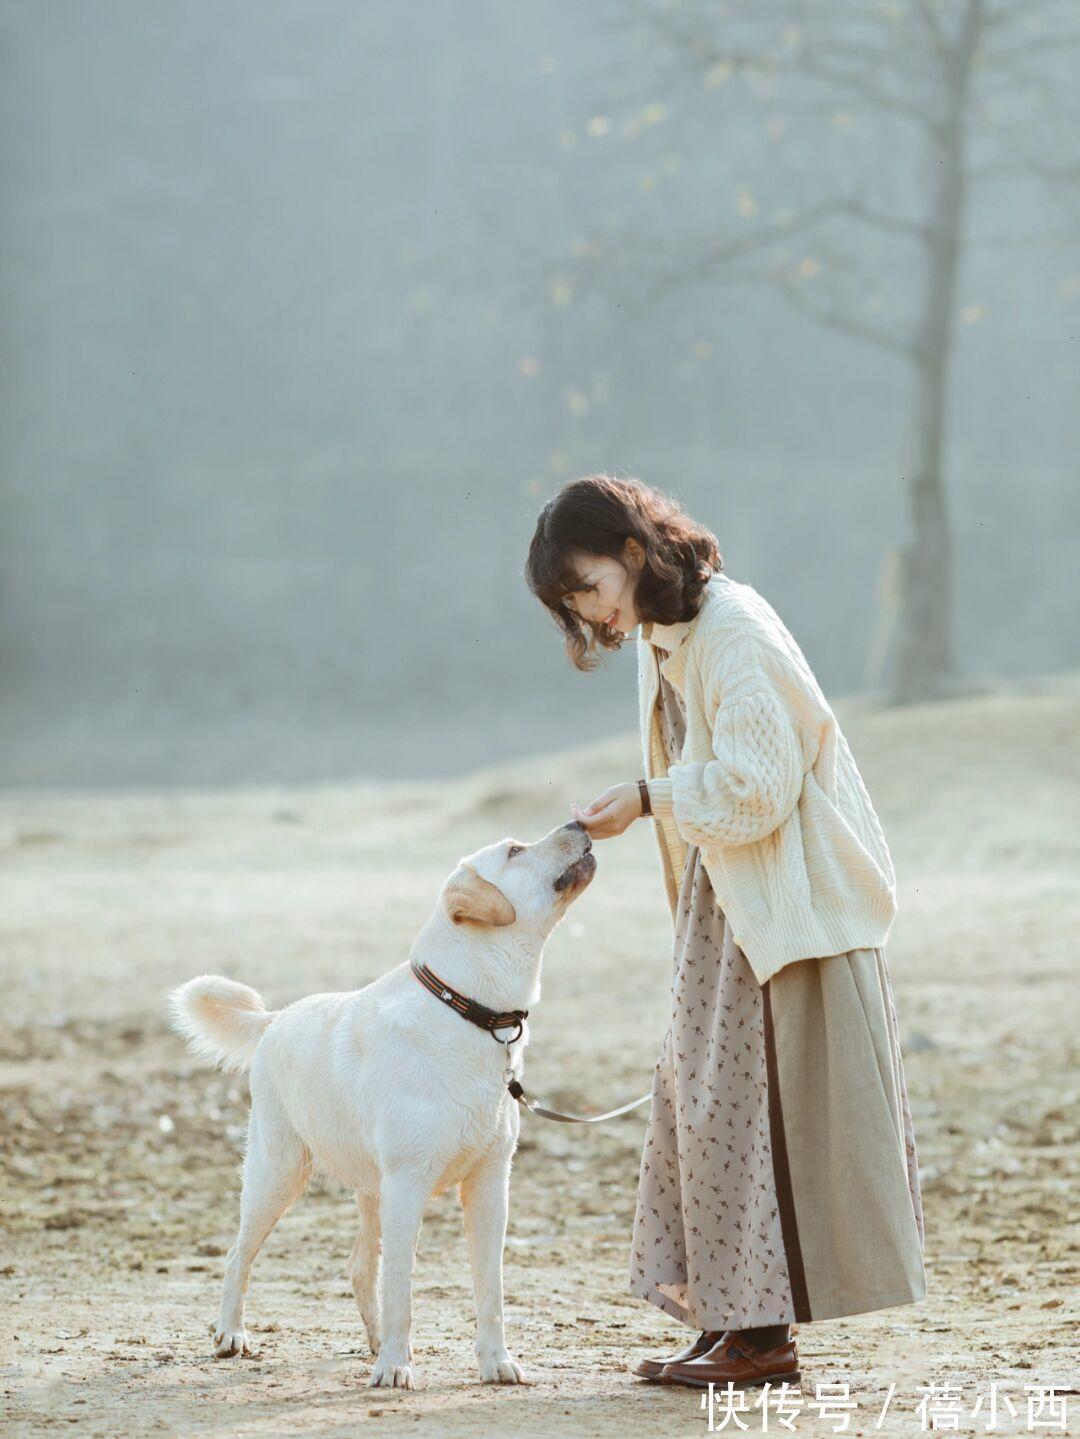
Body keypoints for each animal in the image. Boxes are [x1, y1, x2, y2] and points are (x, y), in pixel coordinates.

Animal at [168, 823, 595, 1392]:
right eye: (514, 851)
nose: (580, 824)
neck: (467, 1010)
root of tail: (275, 1019)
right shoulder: (408, 1185)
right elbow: (402, 1292)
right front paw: (395, 1366)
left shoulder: (489, 1186)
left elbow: (491, 1290)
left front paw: (496, 1363)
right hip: (278, 1173)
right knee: (240, 1254)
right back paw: (230, 1334)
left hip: (370, 1190)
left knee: (358, 1267)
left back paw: (370, 1341)